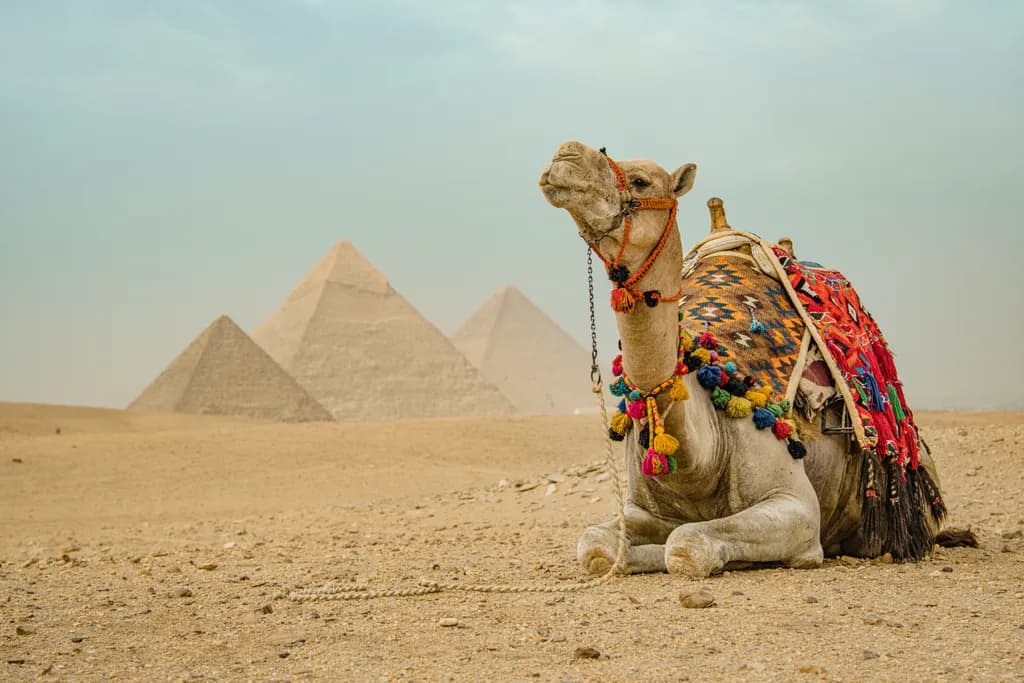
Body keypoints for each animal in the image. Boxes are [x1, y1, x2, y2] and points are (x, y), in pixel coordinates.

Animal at [538, 141, 948, 578]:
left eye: (640, 180)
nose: (565, 154)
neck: (699, 457)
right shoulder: (643, 508)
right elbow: (596, 545)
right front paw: (628, 555)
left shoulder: (797, 508)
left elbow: (686, 545)